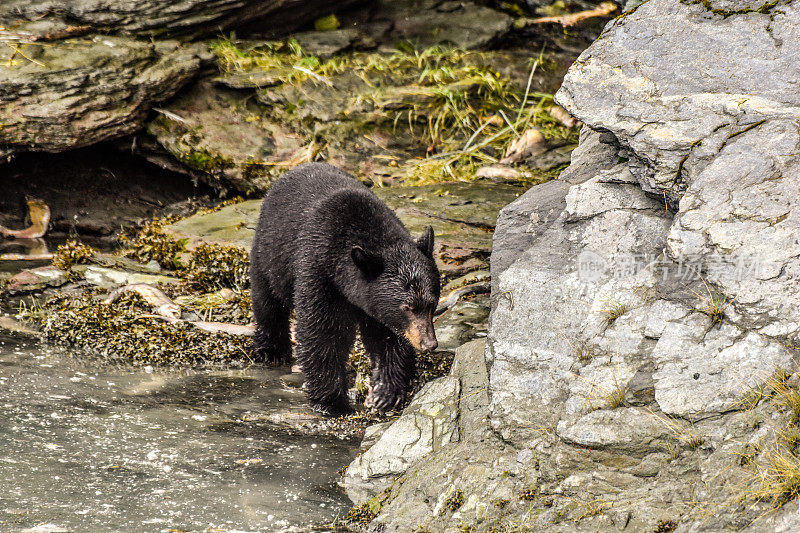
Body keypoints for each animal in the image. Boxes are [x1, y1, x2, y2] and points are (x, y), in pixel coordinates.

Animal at [250, 162, 440, 416]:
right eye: (407, 307)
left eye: (431, 304)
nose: (429, 344)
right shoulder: (319, 273)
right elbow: (322, 333)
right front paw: (332, 402)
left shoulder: (375, 301)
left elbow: (387, 335)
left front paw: (385, 392)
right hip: (269, 255)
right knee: (267, 301)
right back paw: (272, 351)